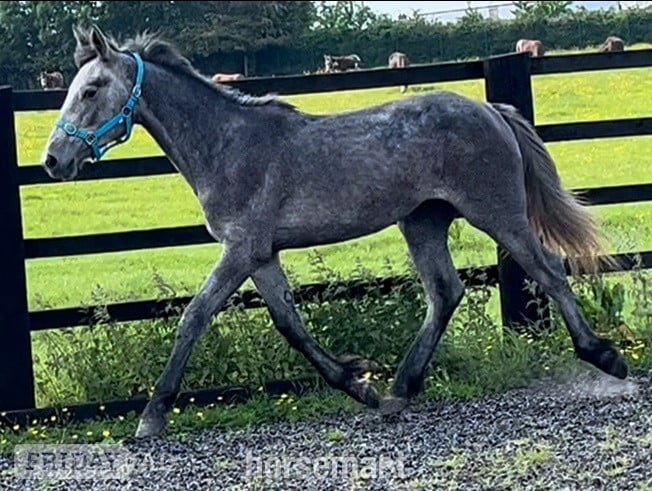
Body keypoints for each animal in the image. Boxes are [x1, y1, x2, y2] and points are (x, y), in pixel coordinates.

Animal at [42, 25, 628, 439]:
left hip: (497, 213)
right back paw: (398, 391)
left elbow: (194, 318)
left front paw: (150, 417)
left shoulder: (240, 250)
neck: (228, 146)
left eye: (92, 89)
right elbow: (291, 325)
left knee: (548, 271)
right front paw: (359, 384)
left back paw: (606, 357)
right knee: (446, 292)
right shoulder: (262, 256)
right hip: (423, 220)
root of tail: (490, 108)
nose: (53, 160)